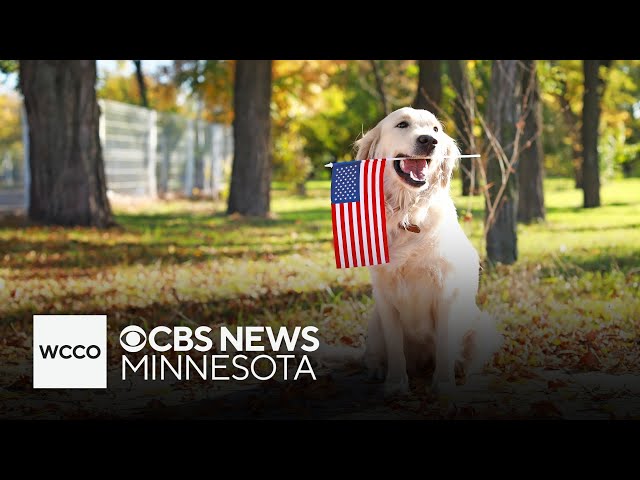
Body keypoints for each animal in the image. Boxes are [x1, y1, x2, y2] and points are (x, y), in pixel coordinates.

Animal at [356, 107, 500, 396]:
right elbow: (395, 349)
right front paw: (396, 384)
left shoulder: (446, 293)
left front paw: (444, 386)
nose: (429, 141)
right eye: (402, 124)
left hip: (482, 325)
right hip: (375, 324)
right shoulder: (385, 297)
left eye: (435, 130)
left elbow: (445, 346)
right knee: (375, 355)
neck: (408, 214)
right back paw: (377, 371)